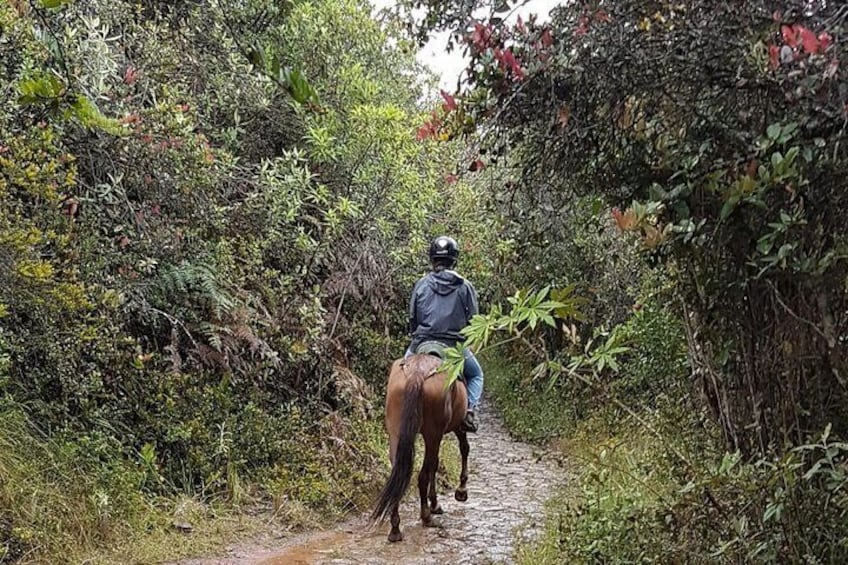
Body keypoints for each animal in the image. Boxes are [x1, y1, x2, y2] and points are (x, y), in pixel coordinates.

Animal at [370, 352, 470, 540]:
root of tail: (417, 373)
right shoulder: (457, 426)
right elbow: (463, 449)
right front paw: (460, 492)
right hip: (434, 433)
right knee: (423, 474)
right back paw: (426, 517)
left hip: (396, 431)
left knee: (398, 471)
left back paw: (395, 528)